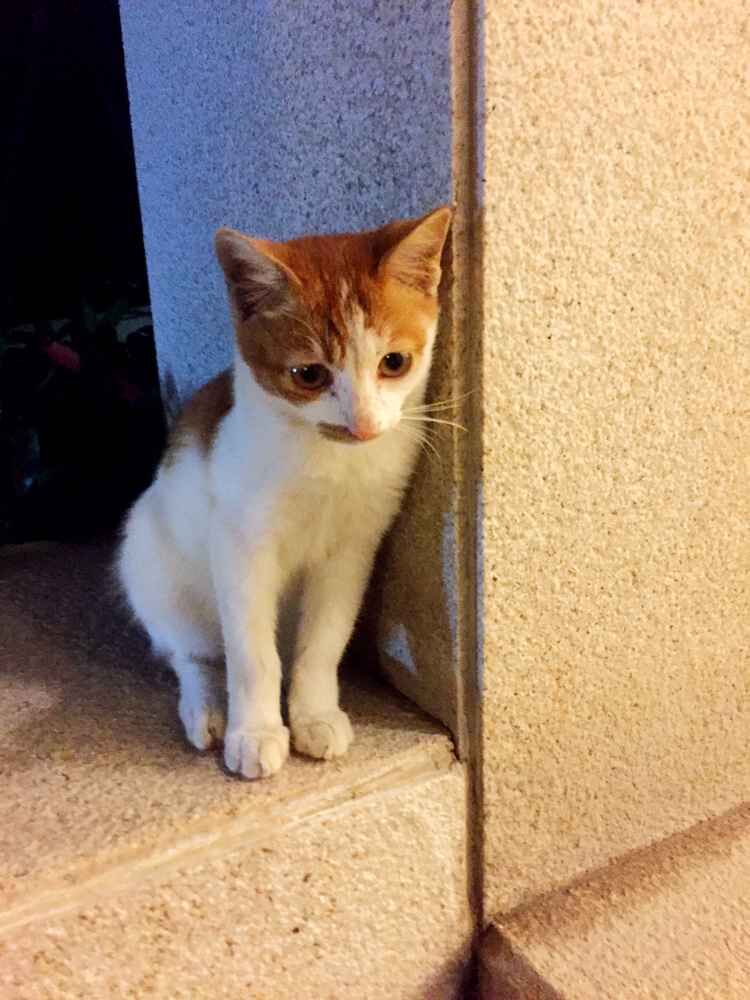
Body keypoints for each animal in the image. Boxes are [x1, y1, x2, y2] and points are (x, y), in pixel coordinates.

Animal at [117, 206, 452, 779]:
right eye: (308, 374)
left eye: (395, 363)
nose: (363, 424)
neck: (329, 465)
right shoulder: (238, 545)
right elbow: (251, 654)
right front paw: (254, 732)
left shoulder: (353, 549)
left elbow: (324, 640)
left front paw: (313, 714)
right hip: (151, 564)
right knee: (192, 653)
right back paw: (207, 708)